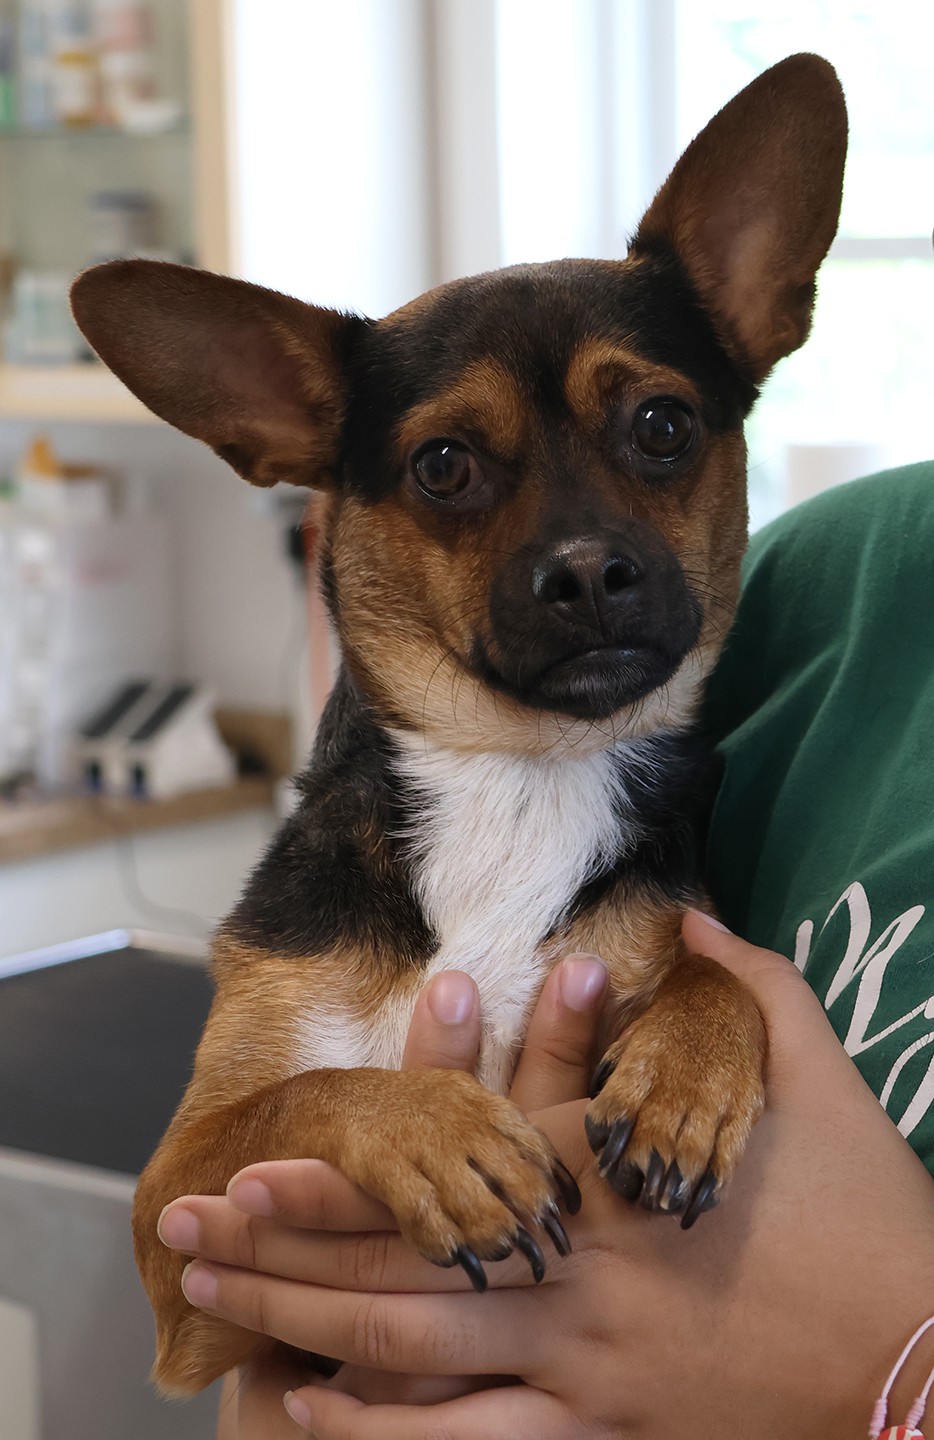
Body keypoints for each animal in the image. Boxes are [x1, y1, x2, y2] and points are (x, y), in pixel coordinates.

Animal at [70, 52, 846, 1396]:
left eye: (662, 426)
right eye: (441, 465)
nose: (587, 574)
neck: (519, 771)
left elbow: (716, 969)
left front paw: (687, 1070)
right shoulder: (184, 1234)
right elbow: (307, 1092)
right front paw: (434, 1134)